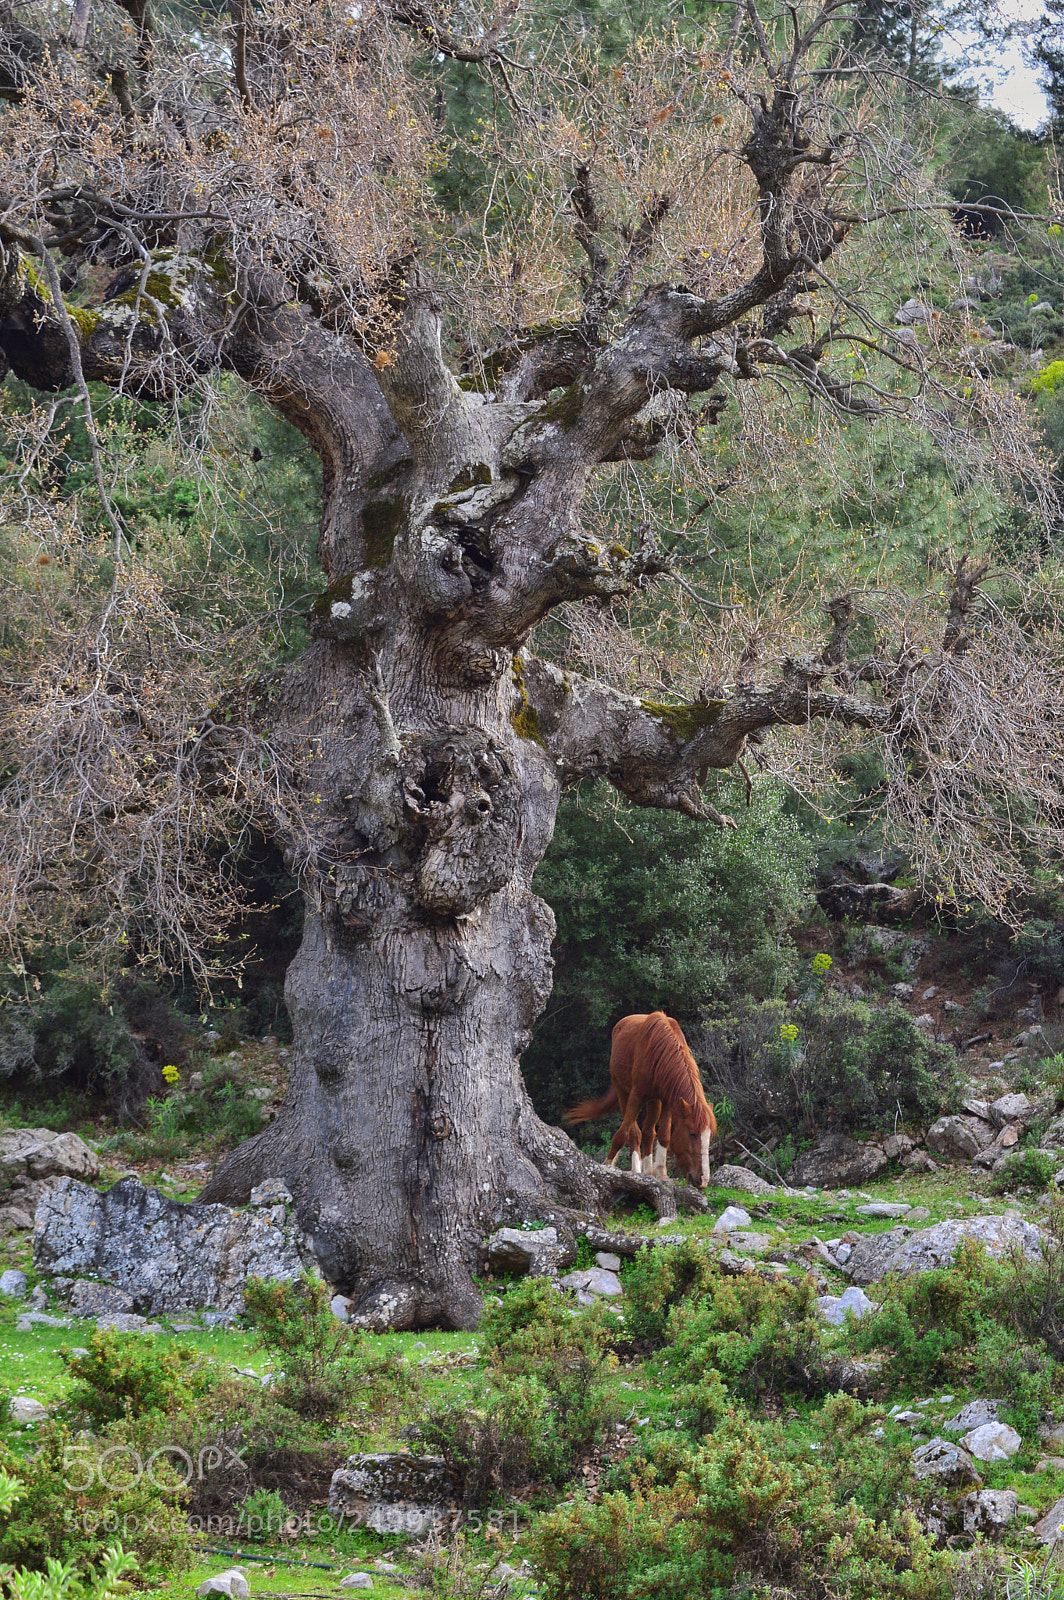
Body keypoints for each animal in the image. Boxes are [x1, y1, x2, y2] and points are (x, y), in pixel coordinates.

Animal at [563, 1012, 716, 1187]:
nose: (702, 1180)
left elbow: (664, 1135)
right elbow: (622, 1134)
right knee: (634, 1132)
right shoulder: (636, 1095)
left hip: (654, 1101)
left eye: (710, 1136)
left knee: (648, 1132)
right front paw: (607, 1166)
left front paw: (661, 1173)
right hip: (623, 1092)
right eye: (692, 1134)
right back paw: (636, 1170)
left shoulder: (667, 1100)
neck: (662, 1050)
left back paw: (648, 1171)